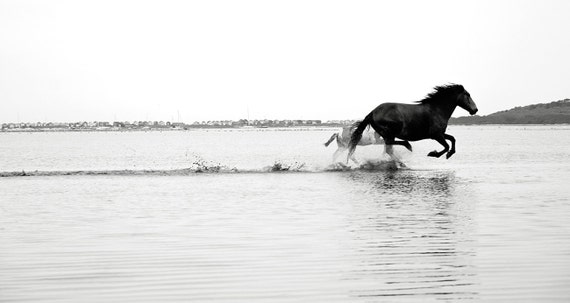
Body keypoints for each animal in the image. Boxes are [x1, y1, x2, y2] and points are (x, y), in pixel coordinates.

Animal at [346, 84, 474, 162]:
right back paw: (407, 149)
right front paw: (433, 154)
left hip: (387, 133)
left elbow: (452, 139)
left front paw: (450, 154)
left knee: (387, 147)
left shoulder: (440, 134)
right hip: (391, 131)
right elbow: (446, 146)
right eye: (467, 95)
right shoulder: (436, 135)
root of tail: (373, 112)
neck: (436, 110)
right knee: (389, 146)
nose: (475, 110)